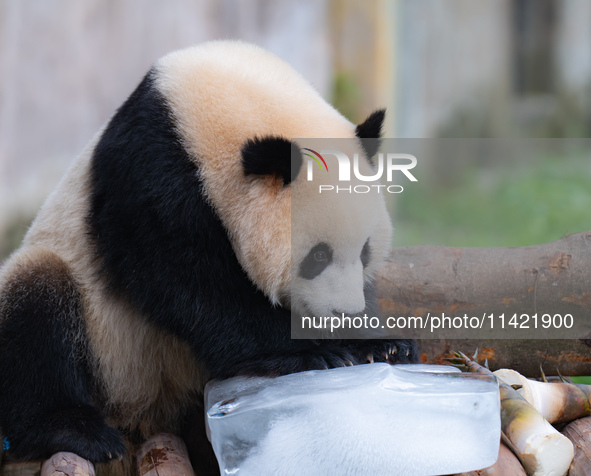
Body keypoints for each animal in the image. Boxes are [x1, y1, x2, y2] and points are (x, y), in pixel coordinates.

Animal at [0, 41, 416, 472]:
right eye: (317, 257)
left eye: (365, 252)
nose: (343, 315)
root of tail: (137, 418)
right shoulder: (150, 172)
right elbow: (184, 283)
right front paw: (318, 351)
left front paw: (380, 344)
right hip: (99, 342)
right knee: (36, 303)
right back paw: (75, 430)